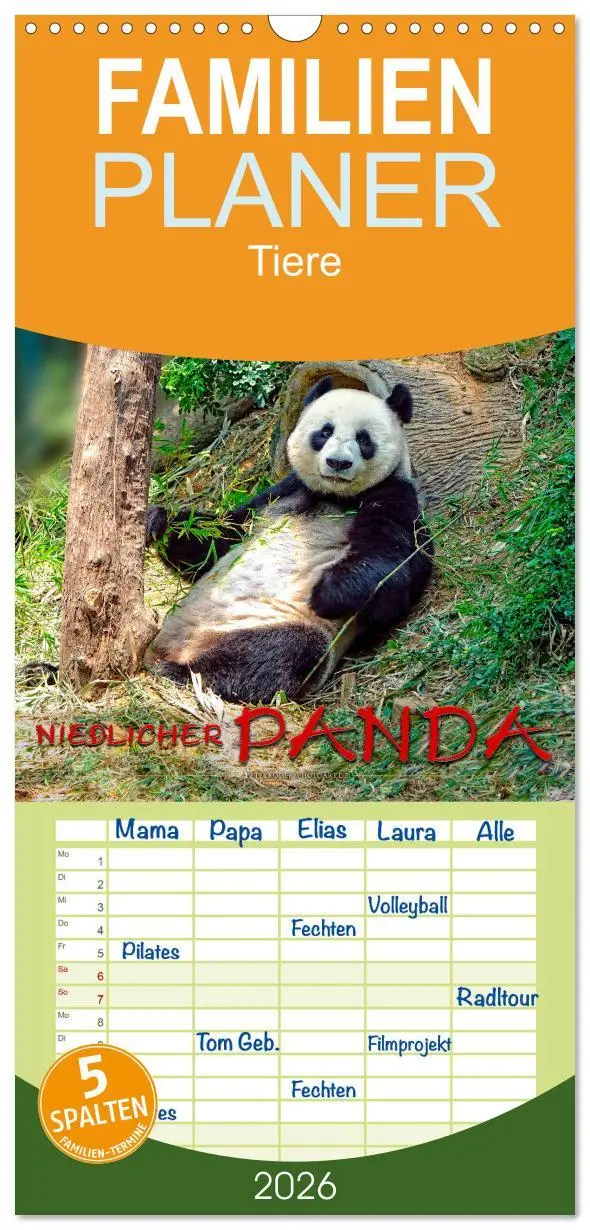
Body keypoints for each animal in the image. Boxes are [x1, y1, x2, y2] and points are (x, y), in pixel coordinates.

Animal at [145, 377, 433, 704]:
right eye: (325, 431)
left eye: (363, 439)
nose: (338, 463)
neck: (334, 496)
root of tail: (178, 647)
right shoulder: (282, 492)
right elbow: (221, 538)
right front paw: (158, 521)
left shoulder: (394, 496)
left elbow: (395, 566)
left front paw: (328, 593)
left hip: (267, 622)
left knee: (275, 653)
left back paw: (183, 673)